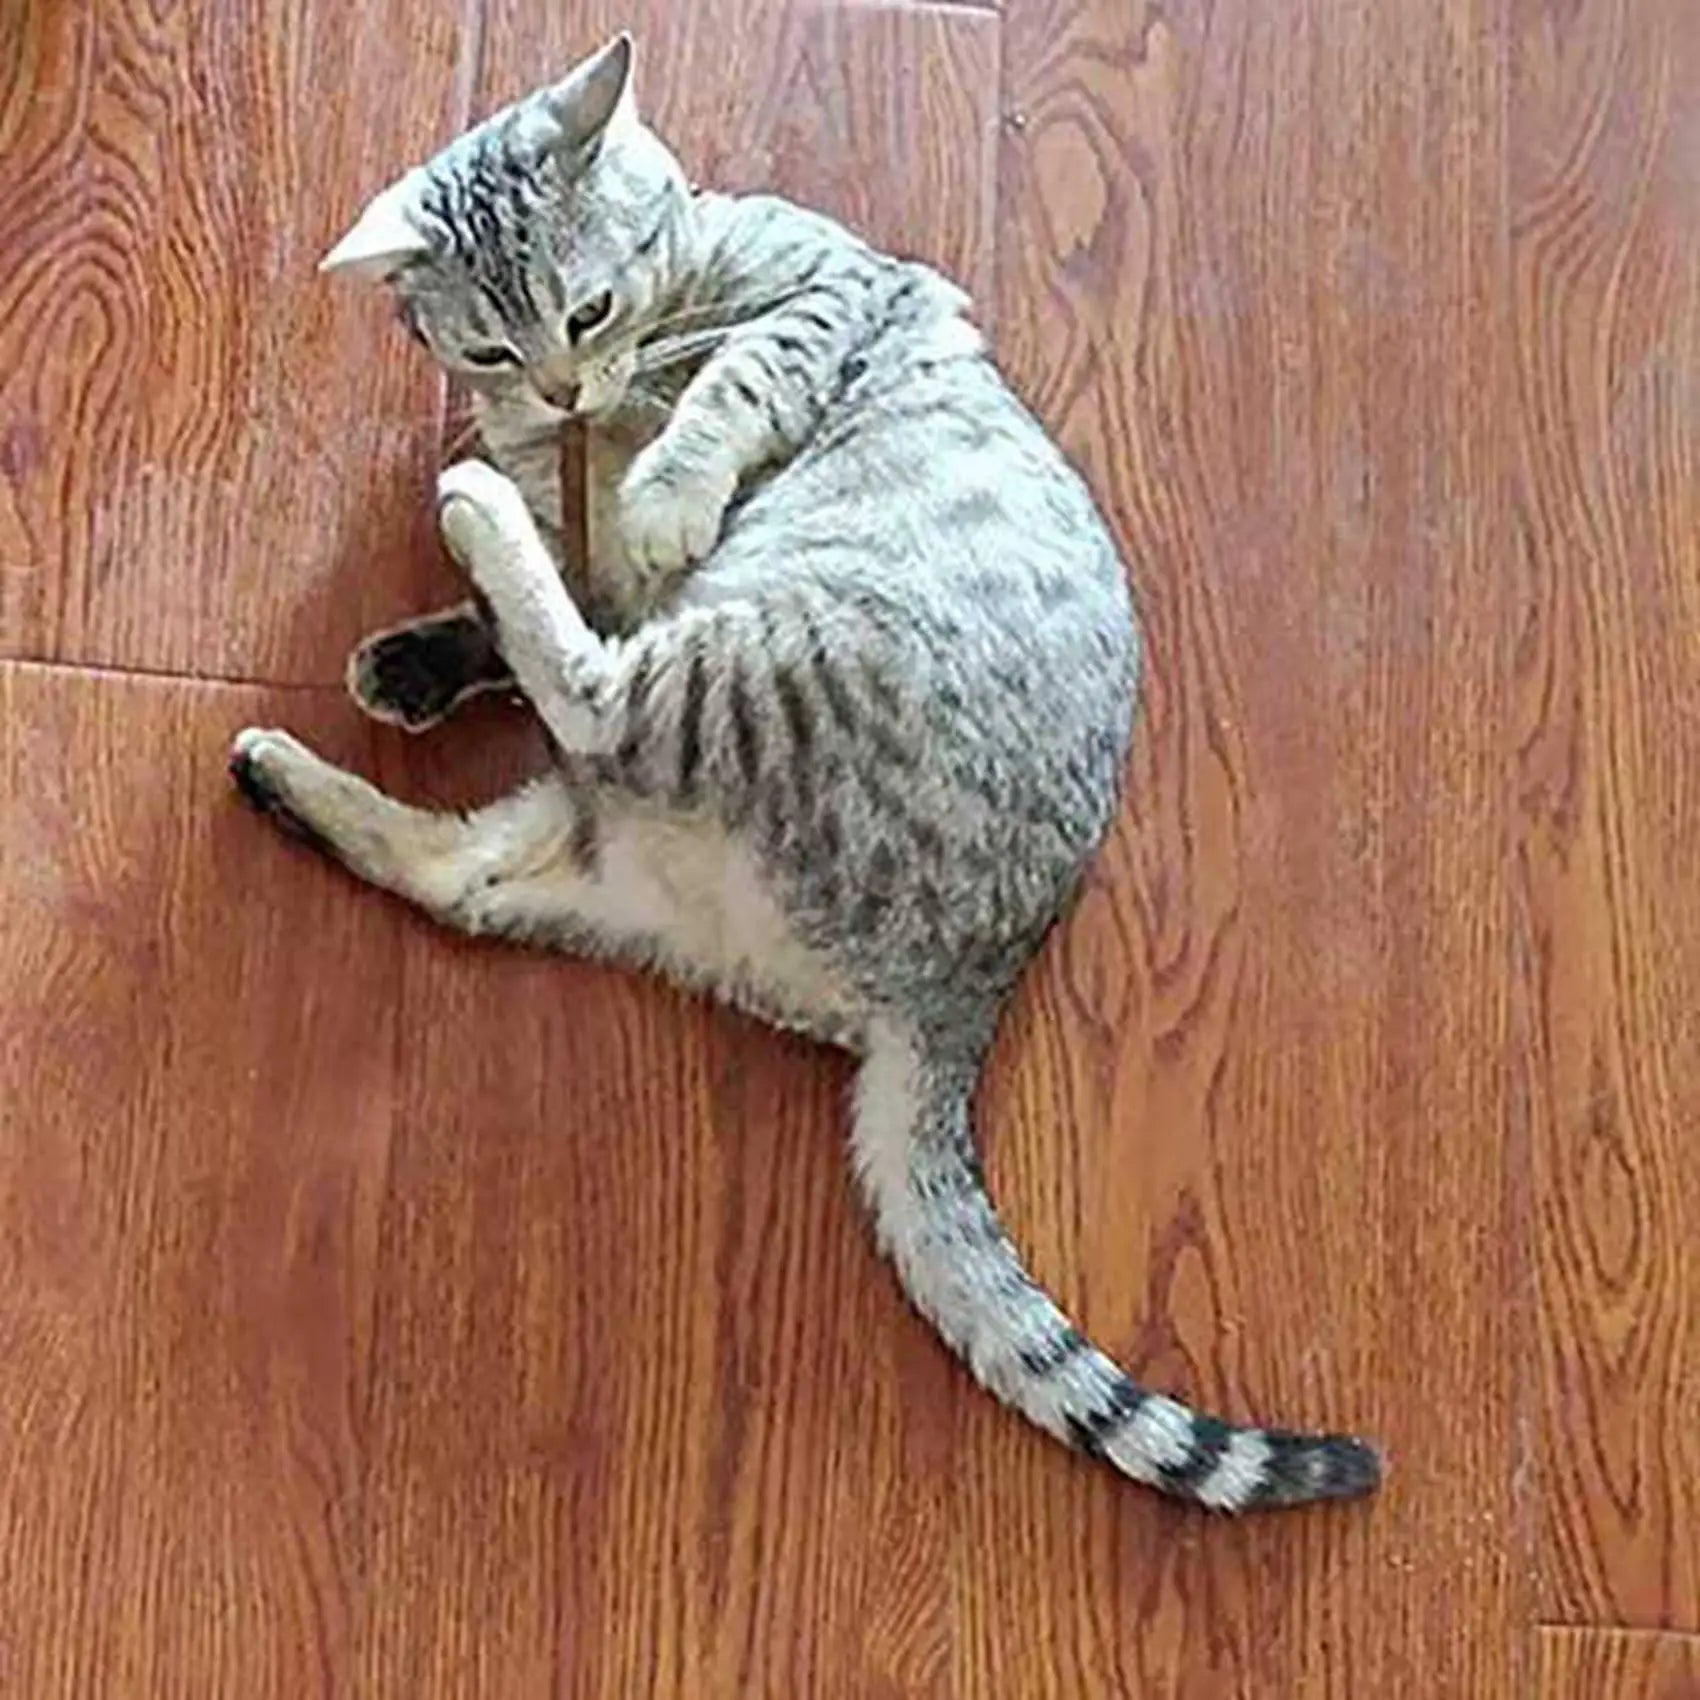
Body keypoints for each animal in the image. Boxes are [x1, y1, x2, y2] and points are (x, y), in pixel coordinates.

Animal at [229, 33, 1381, 1512]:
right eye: (488, 342)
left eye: (589, 308)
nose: (557, 390)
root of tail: (957, 1000)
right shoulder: (589, 523)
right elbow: (553, 588)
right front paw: (428, 647)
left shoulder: (841, 294)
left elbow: (731, 385)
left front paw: (648, 492)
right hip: (609, 842)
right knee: (471, 867)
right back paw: (287, 766)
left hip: (770, 662)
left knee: (596, 699)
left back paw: (471, 523)